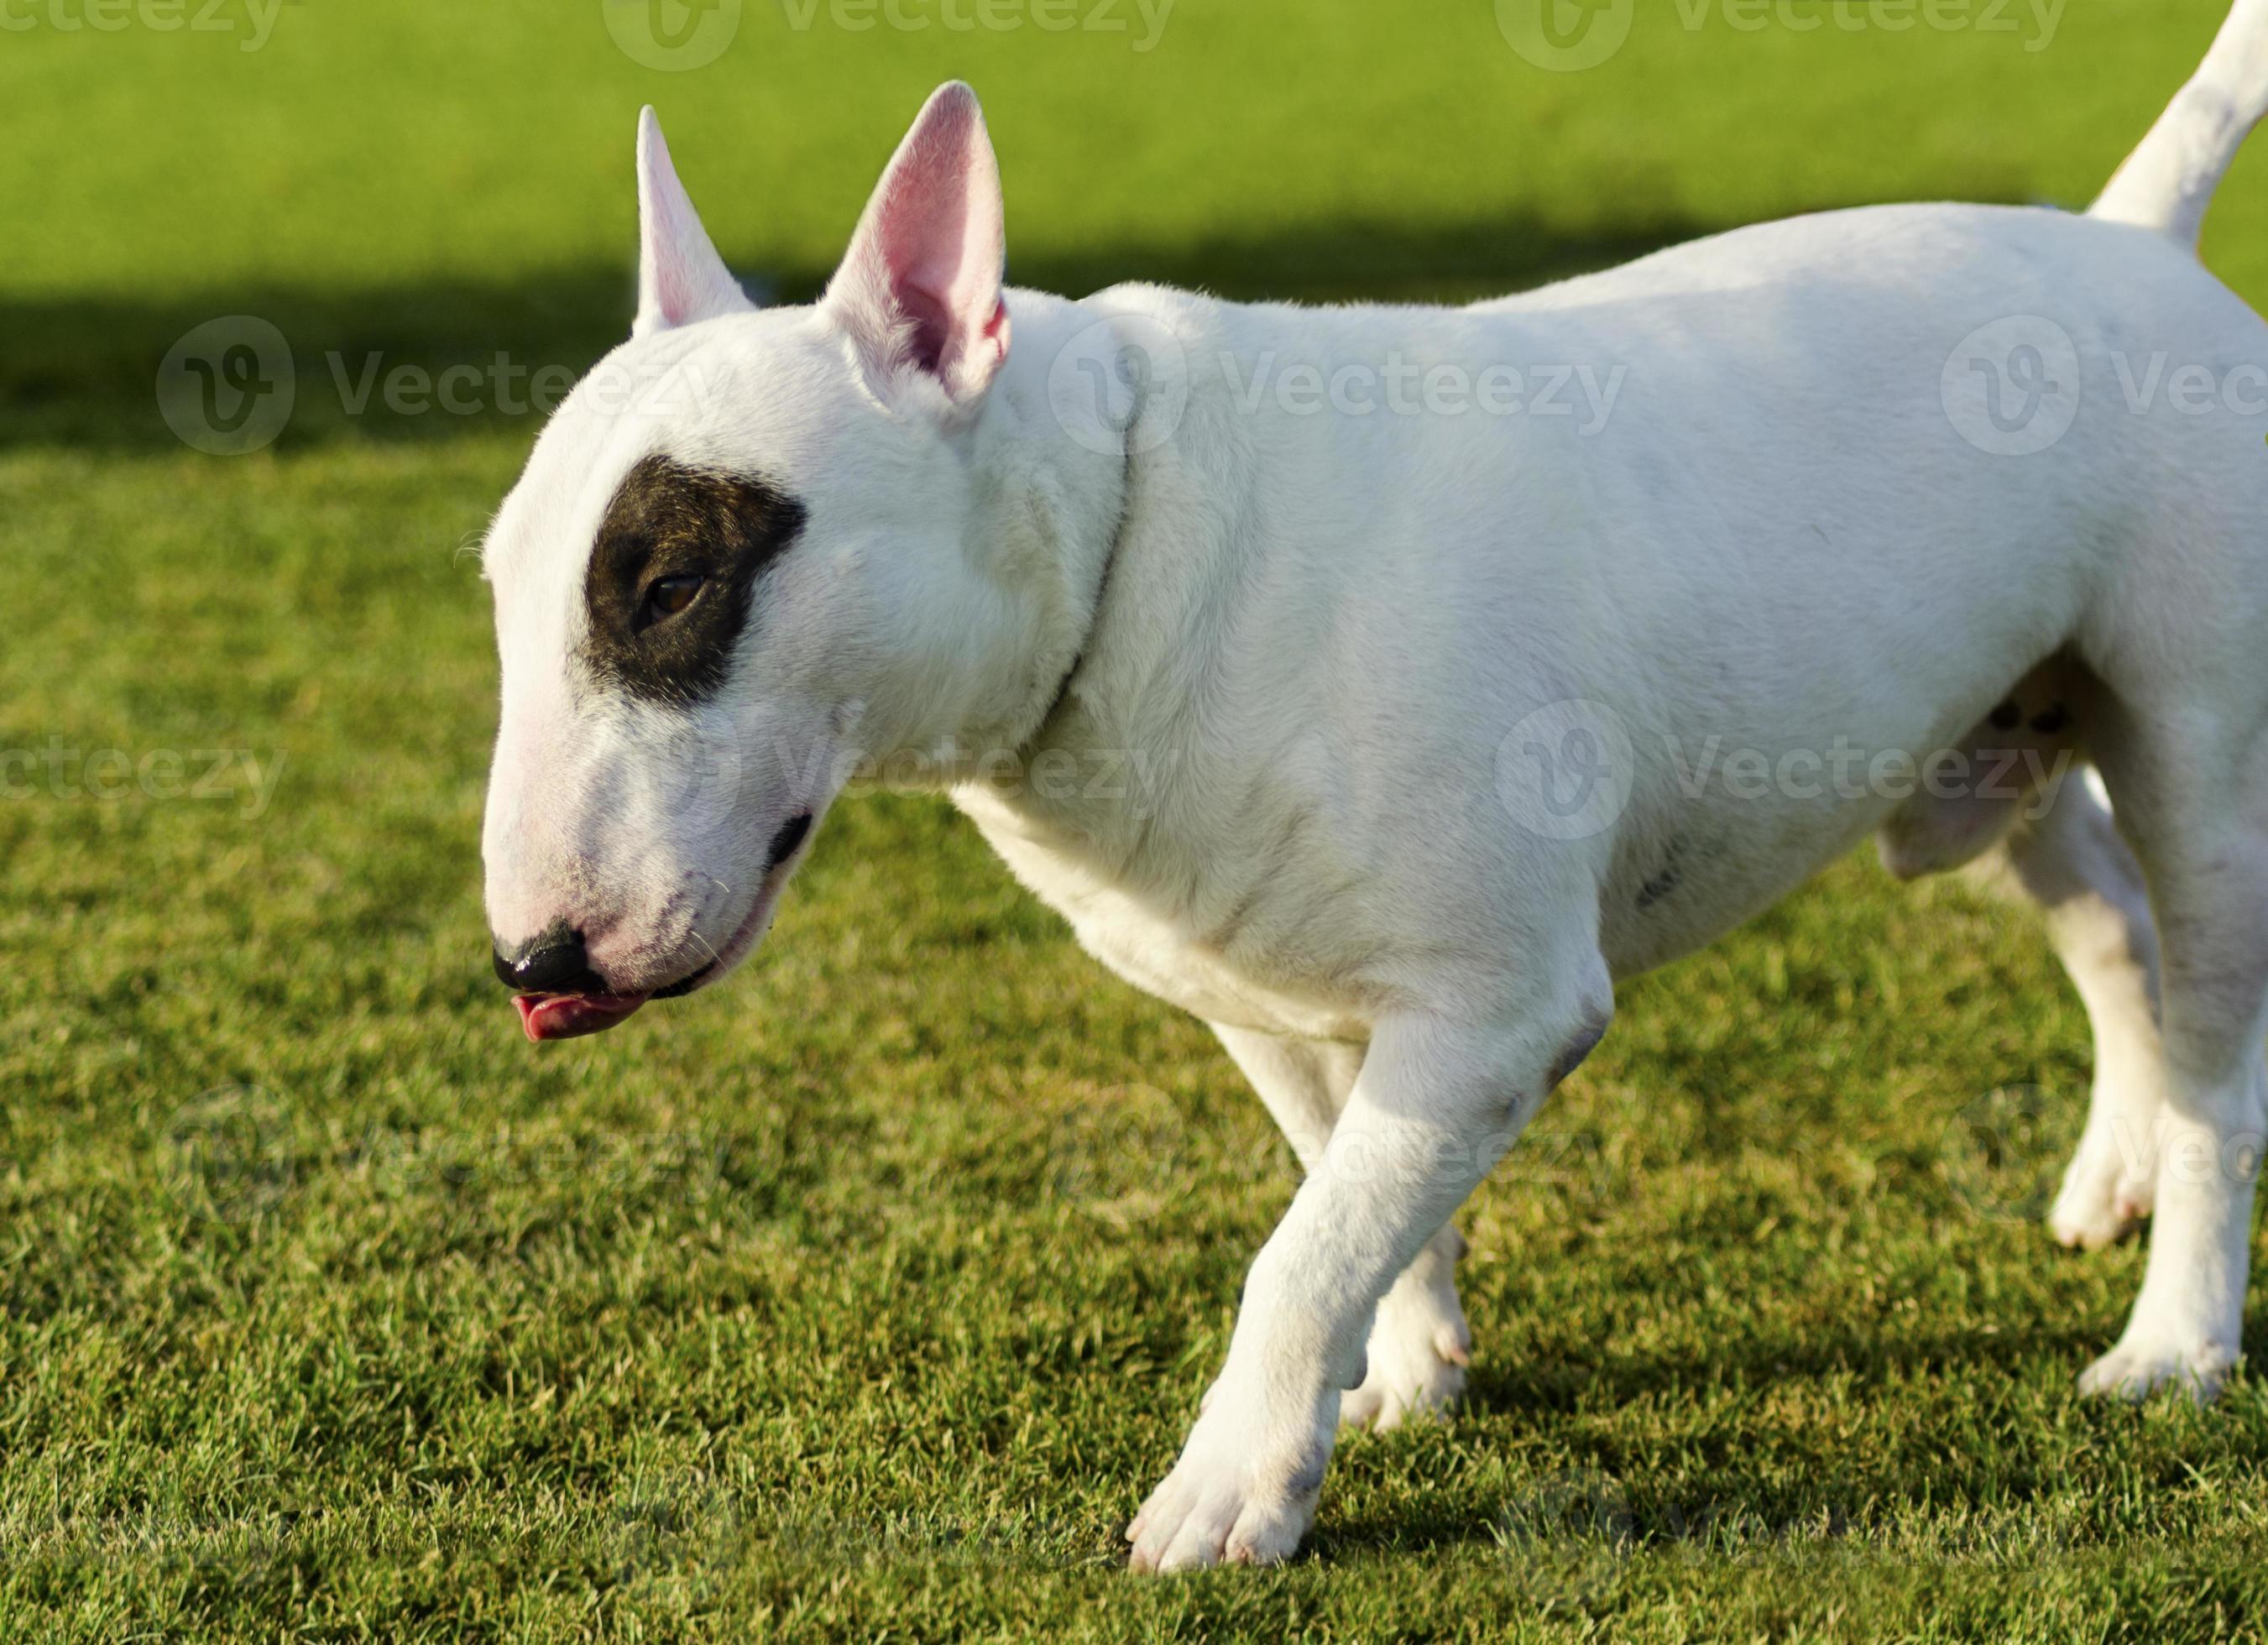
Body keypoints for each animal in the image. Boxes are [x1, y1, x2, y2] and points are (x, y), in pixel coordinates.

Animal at [483, 0, 2268, 1569]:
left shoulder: (1501, 1003)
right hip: (1978, 735)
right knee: (2108, 925)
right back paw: (2110, 1173)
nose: (530, 962)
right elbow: (1338, 1192)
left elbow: (1300, 1250)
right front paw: (1399, 1368)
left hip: (2203, 764)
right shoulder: (1260, 990)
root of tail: (2131, 236)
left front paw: (1226, 1495)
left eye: (670, 583)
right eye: (499, 582)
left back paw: (2174, 1334)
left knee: (2212, 1053)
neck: (1131, 540)